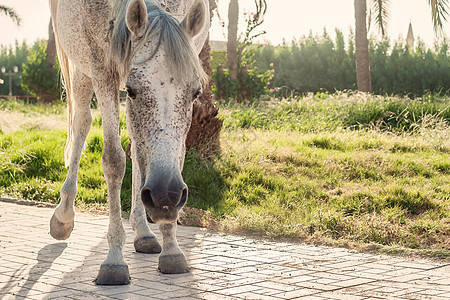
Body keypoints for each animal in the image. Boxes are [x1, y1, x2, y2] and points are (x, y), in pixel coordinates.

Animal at [48, 0, 210, 284]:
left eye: (196, 92)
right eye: (132, 90)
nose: (165, 195)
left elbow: (175, 153)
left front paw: (171, 248)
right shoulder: (102, 69)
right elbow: (113, 161)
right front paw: (114, 260)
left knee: (136, 145)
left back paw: (143, 231)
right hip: (82, 68)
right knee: (81, 122)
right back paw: (63, 216)